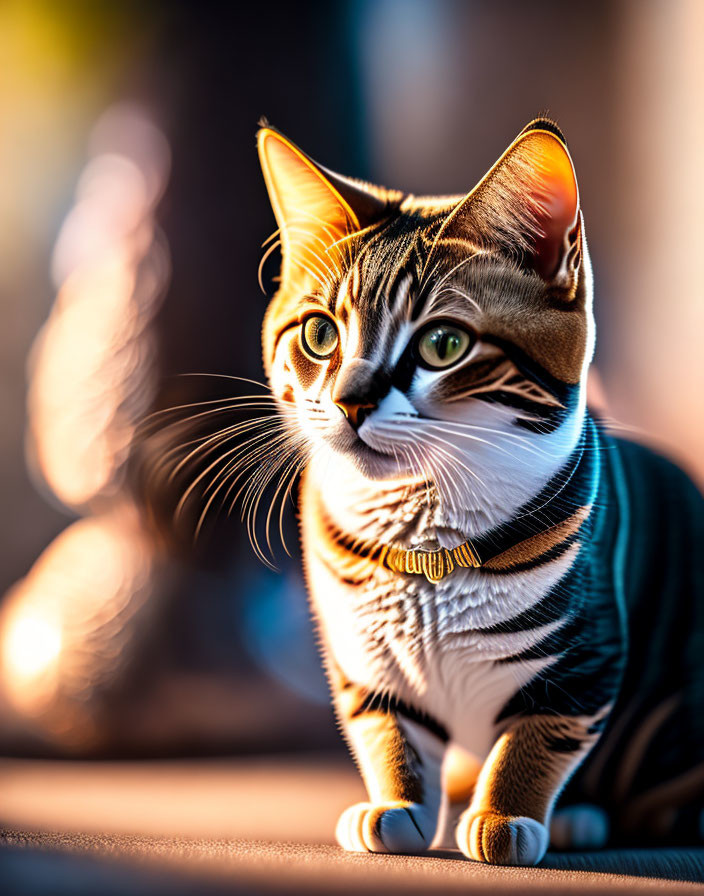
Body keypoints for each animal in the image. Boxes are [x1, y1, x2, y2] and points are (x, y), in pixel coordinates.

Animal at [253, 122, 704, 864]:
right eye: (319, 334)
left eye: (443, 344)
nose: (349, 399)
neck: (420, 530)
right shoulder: (366, 661)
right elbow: (387, 733)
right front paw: (397, 806)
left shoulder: (583, 656)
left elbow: (534, 742)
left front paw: (503, 816)